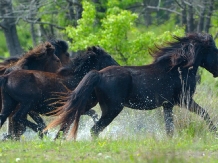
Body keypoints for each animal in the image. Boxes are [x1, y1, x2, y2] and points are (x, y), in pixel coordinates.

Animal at [45, 32, 218, 139]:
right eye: (215, 49)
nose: (217, 71)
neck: (177, 69)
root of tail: (98, 74)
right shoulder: (184, 100)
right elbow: (205, 114)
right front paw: (214, 133)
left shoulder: (168, 105)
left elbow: (169, 128)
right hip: (112, 109)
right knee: (94, 129)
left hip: (90, 102)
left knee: (71, 117)